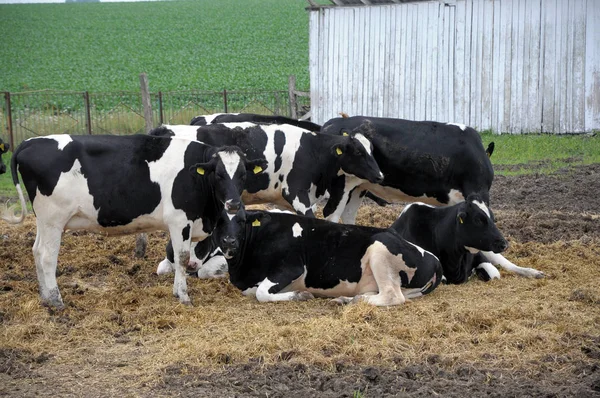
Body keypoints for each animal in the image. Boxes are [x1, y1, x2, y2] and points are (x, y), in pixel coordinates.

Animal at [1, 134, 266, 308]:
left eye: (243, 174)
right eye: (218, 174)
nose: (233, 203)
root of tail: (29, 142)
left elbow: (183, 258)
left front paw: (177, 291)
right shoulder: (179, 220)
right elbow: (181, 258)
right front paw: (183, 296)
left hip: (43, 221)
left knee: (36, 251)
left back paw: (45, 297)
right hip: (53, 219)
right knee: (47, 257)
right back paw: (56, 300)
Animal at [209, 208, 442, 304]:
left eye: (241, 221)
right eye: (218, 222)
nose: (229, 241)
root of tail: (434, 259)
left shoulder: (292, 266)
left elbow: (261, 293)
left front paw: (300, 295)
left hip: (380, 250)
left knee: (392, 296)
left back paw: (354, 301)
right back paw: (347, 299)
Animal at [322, 116, 494, 224]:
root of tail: (332, 122)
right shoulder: (477, 191)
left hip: (359, 186)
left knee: (348, 215)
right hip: (341, 183)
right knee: (331, 214)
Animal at [392, 195, 548, 282]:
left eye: (492, 218)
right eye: (478, 220)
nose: (504, 244)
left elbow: (494, 274)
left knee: (510, 266)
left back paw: (535, 273)